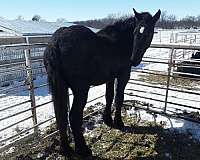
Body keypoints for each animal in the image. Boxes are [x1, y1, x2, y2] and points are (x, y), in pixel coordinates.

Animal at [43, 8, 161, 158]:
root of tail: (56, 42)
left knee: (61, 116)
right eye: (135, 32)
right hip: (81, 90)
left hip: (60, 87)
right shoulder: (123, 75)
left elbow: (109, 96)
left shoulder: (110, 77)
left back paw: (66, 149)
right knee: (74, 116)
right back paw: (83, 149)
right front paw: (118, 122)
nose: (134, 60)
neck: (119, 41)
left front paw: (107, 120)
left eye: (148, 33)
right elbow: (119, 98)